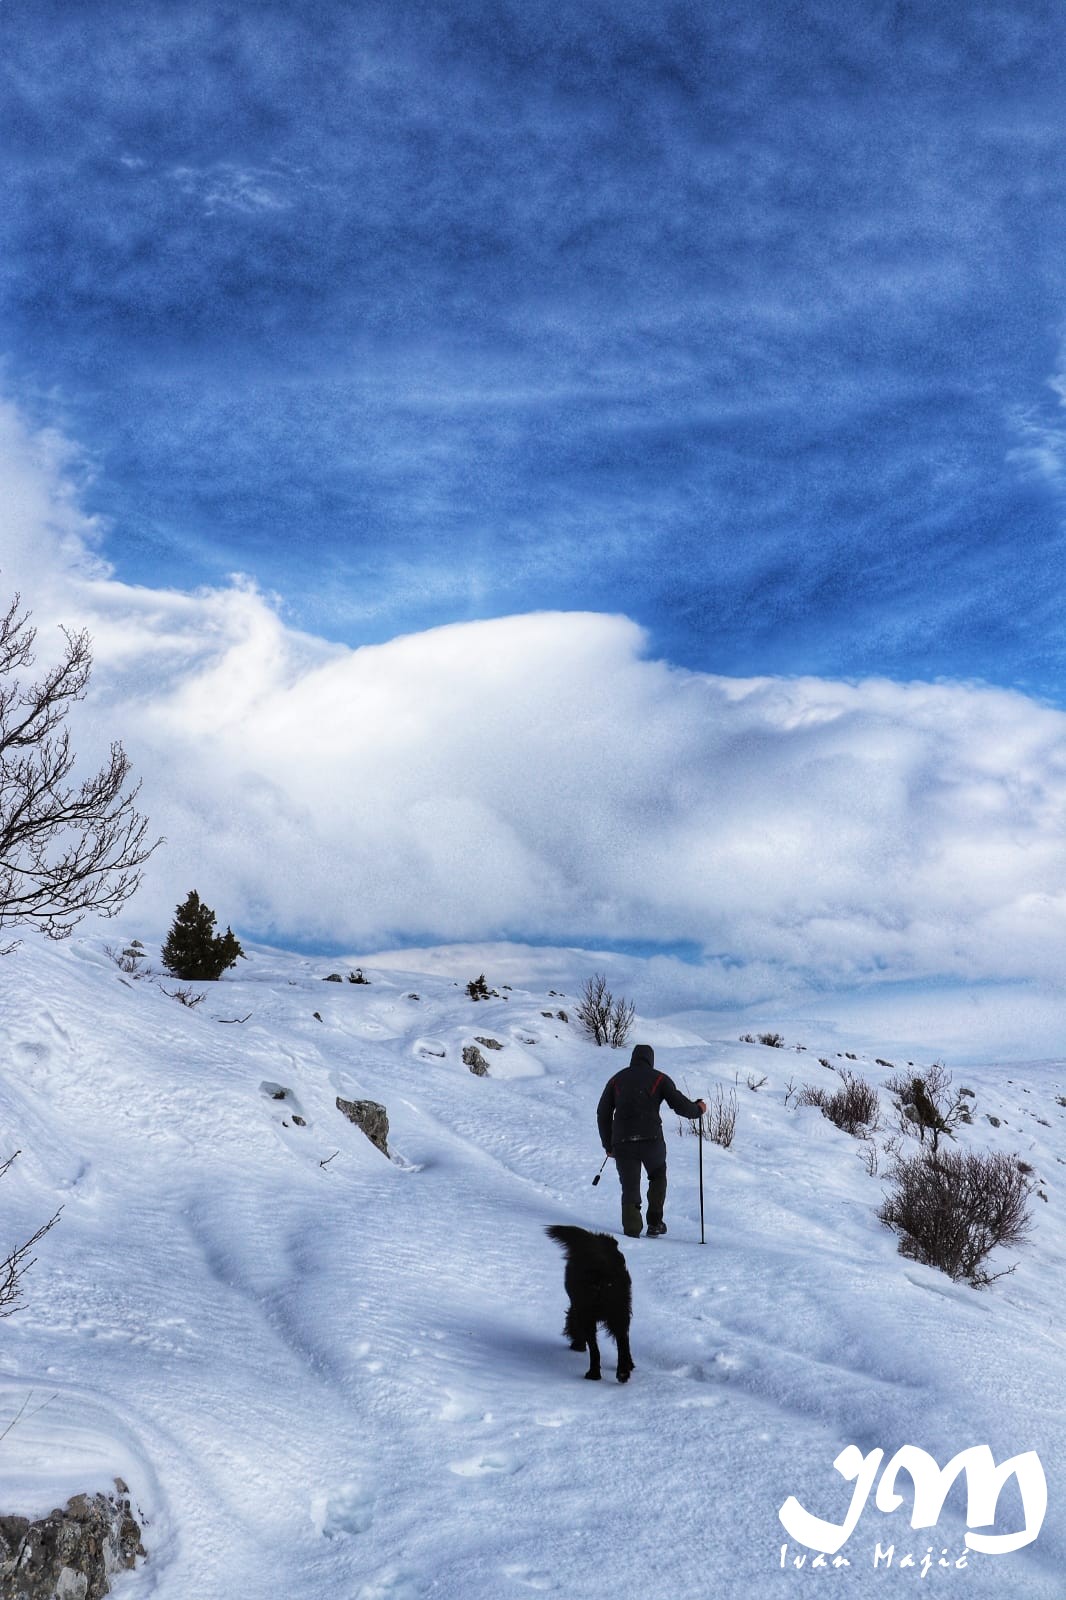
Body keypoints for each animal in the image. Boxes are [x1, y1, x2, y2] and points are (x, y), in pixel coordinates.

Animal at [547, 1228, 630, 1382]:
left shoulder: (578, 1308)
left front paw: (577, 1344)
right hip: (619, 1311)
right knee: (623, 1342)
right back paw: (623, 1372)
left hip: (588, 1314)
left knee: (595, 1348)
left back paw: (593, 1373)